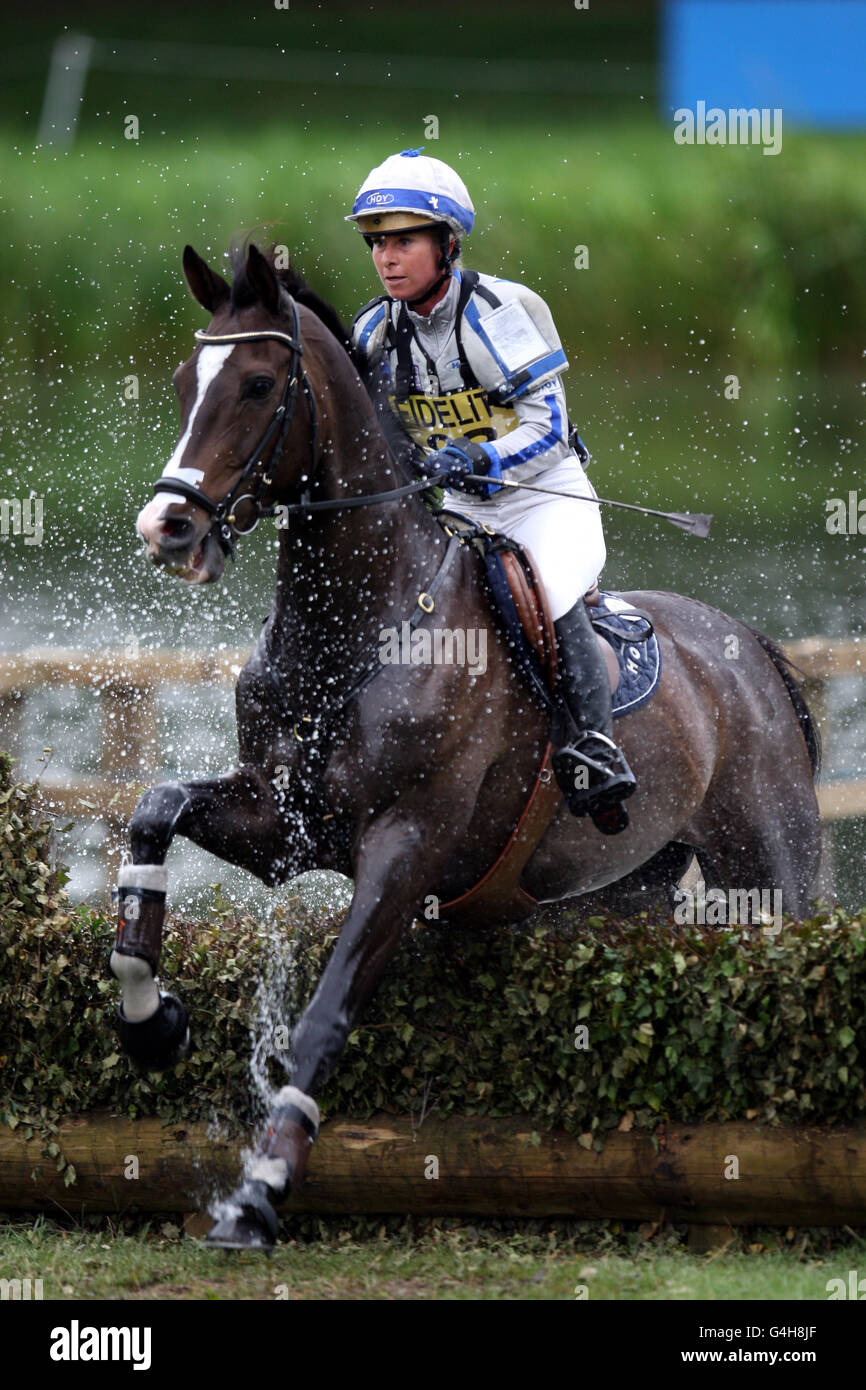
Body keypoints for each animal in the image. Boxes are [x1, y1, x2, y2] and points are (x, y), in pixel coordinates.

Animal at [119, 240, 822, 1249]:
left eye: (256, 384)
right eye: (184, 382)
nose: (166, 528)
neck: (355, 628)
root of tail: (751, 646)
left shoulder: (407, 845)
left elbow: (323, 1015)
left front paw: (258, 1192)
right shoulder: (280, 824)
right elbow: (155, 810)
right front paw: (151, 1023)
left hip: (771, 870)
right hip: (624, 893)